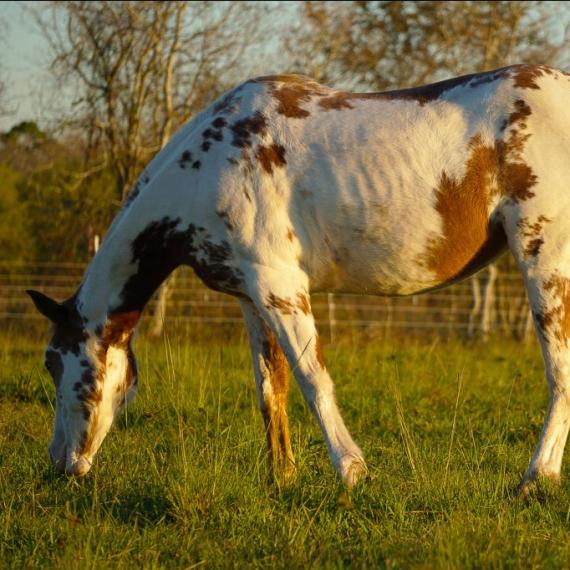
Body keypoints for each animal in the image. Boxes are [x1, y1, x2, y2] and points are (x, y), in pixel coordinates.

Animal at [28, 64, 568, 494]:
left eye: (55, 363)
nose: (60, 464)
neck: (206, 169)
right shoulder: (250, 297)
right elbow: (272, 388)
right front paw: (282, 478)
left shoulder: (280, 287)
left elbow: (313, 380)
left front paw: (351, 472)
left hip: (545, 260)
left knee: (559, 372)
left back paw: (535, 479)